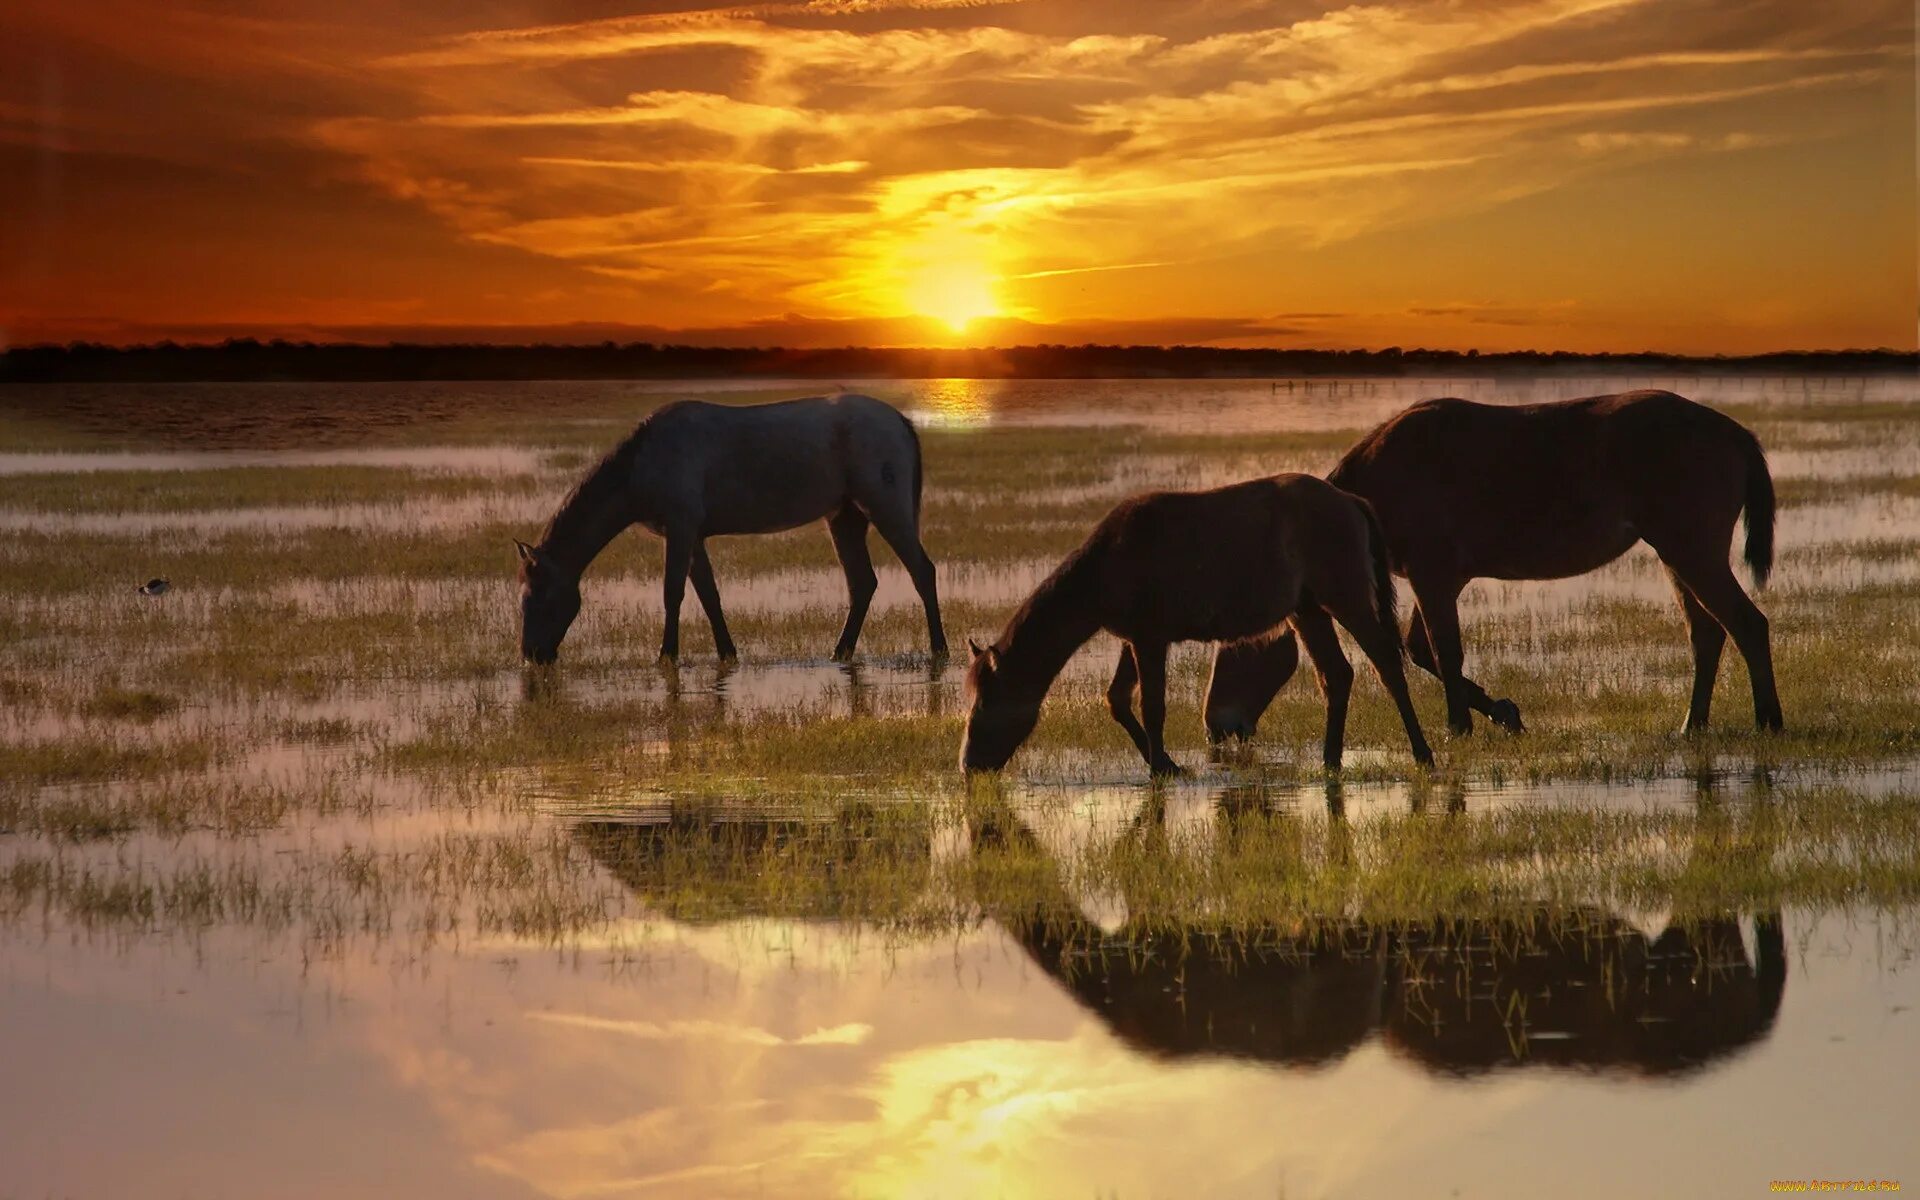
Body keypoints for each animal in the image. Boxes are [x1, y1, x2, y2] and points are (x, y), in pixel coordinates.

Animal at [518, 395, 944, 664]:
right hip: (845, 518)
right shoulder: (693, 537)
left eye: (535, 597)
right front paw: (727, 652)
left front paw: (666, 654)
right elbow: (709, 596)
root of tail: (900, 421)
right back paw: (840, 652)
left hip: (886, 509)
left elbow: (672, 593)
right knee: (862, 584)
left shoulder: (681, 528)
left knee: (922, 572)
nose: (531, 656)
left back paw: (939, 648)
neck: (641, 464)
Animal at [960, 472, 1428, 783]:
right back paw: (1330, 759)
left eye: (986, 700)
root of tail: (1350, 501)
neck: (1106, 564)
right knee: (1337, 676)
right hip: (1308, 612)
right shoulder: (1134, 640)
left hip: (1347, 601)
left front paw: (1162, 765)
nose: (968, 765)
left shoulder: (1150, 640)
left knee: (1387, 666)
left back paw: (1422, 752)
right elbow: (1118, 700)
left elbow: (1152, 706)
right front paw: (1159, 762)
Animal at [1205, 387, 1774, 741]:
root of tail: (1732, 431)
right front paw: (1501, 712)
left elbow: (1443, 652)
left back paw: (1769, 720)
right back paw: (1692, 724)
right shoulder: (1438, 582)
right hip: (1676, 556)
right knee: (1707, 634)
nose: (1216, 727)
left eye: (1238, 649)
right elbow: (1426, 652)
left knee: (1747, 624)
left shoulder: (1435, 578)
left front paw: (1459, 726)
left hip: (1691, 551)